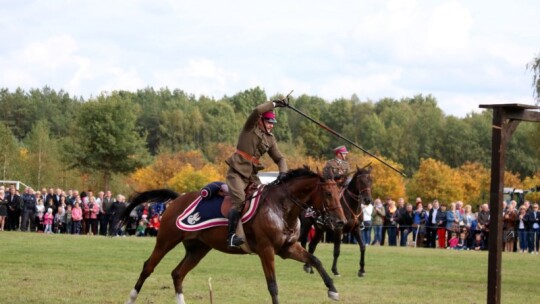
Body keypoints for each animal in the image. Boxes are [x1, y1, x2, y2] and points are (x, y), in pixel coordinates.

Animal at [122, 167, 346, 304]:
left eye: (339, 194)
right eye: (328, 194)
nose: (341, 222)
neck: (282, 208)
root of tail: (178, 199)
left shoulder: (288, 248)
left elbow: (315, 260)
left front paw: (333, 290)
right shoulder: (266, 250)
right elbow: (273, 285)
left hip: (198, 249)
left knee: (177, 273)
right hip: (166, 240)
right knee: (148, 267)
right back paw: (130, 297)